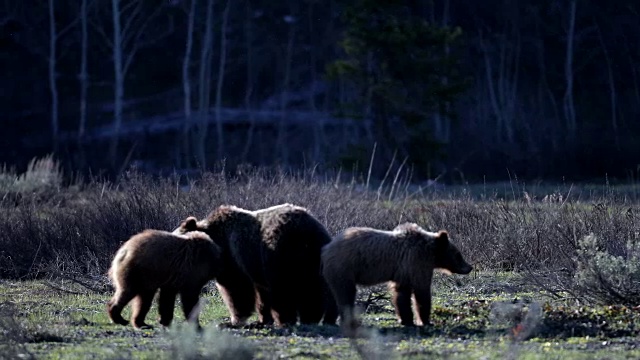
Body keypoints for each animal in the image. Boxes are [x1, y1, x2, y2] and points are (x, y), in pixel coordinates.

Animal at [172, 204, 338, 328]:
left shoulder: (234, 260)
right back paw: (316, 318)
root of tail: (309, 234)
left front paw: (235, 320)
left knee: (286, 291)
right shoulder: (255, 268)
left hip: (279, 256)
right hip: (315, 259)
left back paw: (289, 319)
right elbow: (261, 295)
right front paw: (262, 320)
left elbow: (237, 290)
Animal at [322, 222, 472, 334]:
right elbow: (421, 291)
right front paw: (426, 321)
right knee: (346, 293)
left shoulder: (404, 271)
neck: (431, 253)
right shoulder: (417, 262)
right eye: (458, 254)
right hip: (345, 267)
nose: (469, 267)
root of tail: (327, 248)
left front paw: (406, 320)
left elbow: (402, 294)